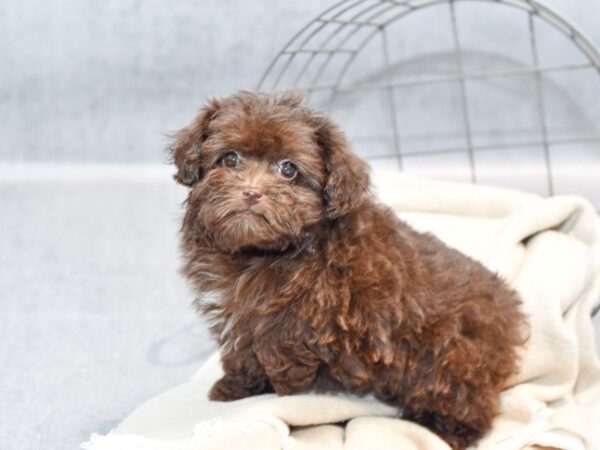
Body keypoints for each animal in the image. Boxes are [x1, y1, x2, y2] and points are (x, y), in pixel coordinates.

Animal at [171, 91, 528, 450]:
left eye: (288, 169)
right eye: (230, 159)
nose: (251, 192)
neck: (259, 251)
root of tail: (509, 318)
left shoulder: (290, 323)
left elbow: (281, 362)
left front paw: (281, 395)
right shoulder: (243, 316)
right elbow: (242, 351)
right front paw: (234, 388)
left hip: (447, 361)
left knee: (468, 405)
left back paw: (441, 431)